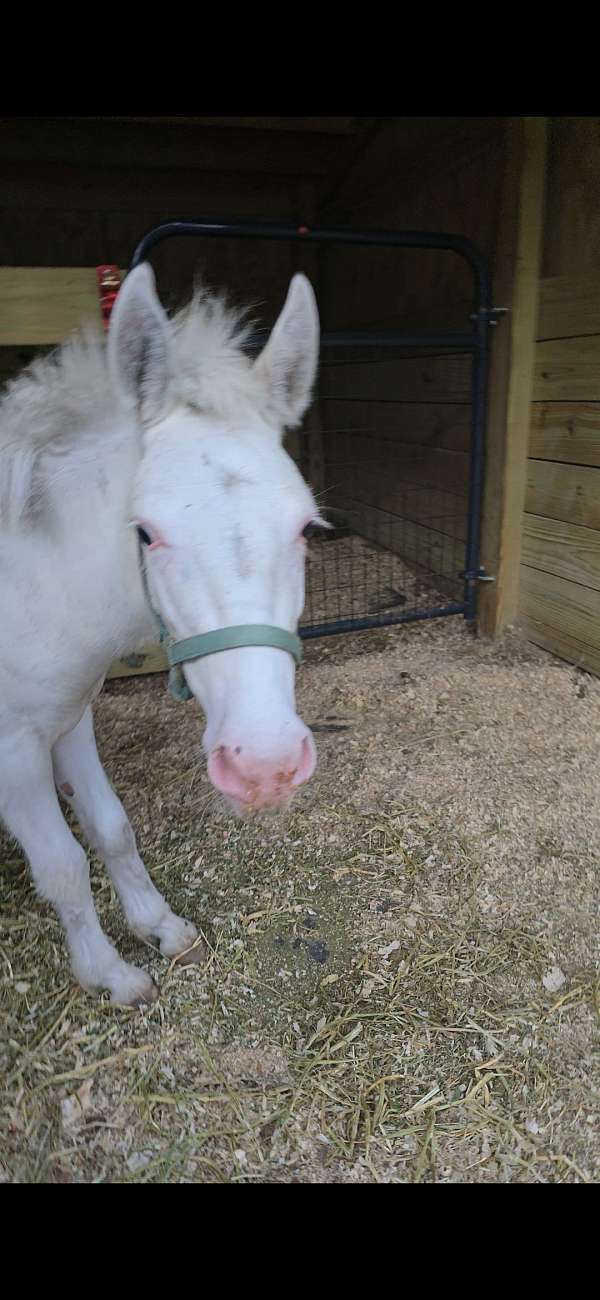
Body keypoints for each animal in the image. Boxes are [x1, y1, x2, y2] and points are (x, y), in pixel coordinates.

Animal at [0, 264, 325, 1005]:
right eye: (146, 532)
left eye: (303, 527)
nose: (264, 766)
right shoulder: (12, 748)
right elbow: (61, 864)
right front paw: (109, 975)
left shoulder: (69, 717)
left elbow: (110, 826)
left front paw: (159, 926)